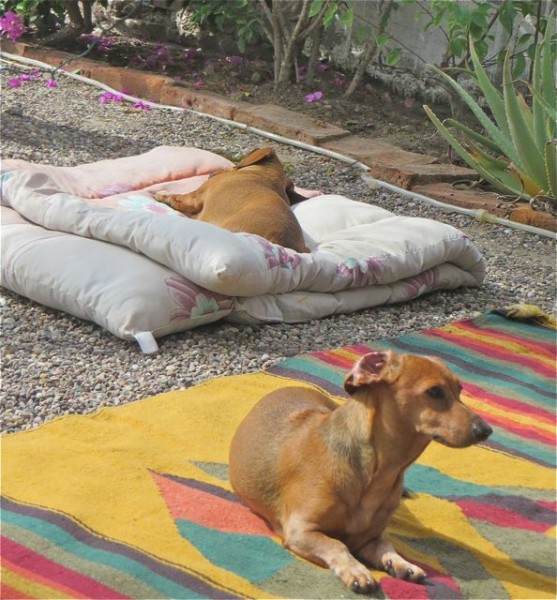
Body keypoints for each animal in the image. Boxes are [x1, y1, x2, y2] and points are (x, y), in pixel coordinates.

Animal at [229, 350, 490, 592]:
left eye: (460, 389)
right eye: (434, 391)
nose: (486, 430)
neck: (379, 475)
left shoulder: (369, 539)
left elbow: (386, 545)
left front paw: (401, 563)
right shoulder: (301, 530)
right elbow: (337, 544)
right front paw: (356, 570)